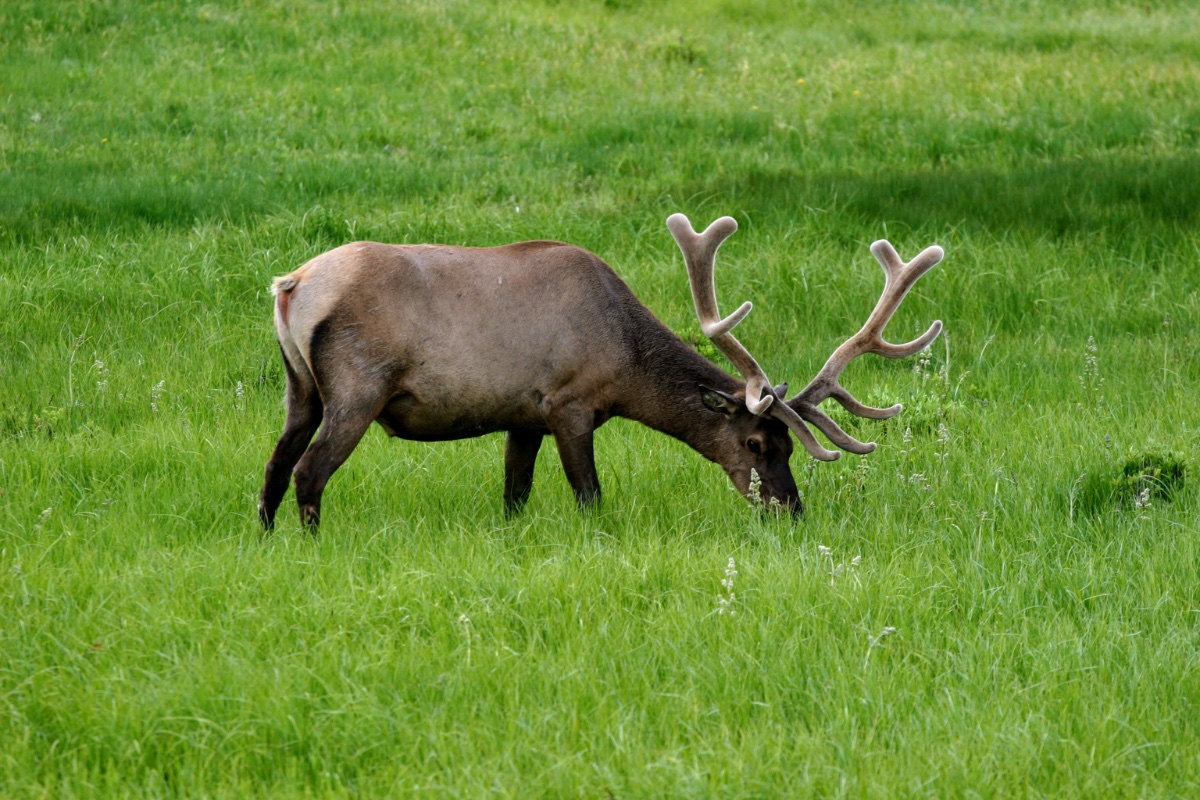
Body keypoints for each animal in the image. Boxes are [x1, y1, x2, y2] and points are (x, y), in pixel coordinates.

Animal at [258, 214, 944, 529]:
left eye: (791, 446)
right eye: (755, 442)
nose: (790, 508)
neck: (625, 363)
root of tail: (290, 285)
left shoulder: (522, 415)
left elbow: (514, 496)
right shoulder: (569, 402)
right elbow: (590, 496)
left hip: (300, 388)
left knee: (274, 466)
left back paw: (267, 541)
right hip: (357, 386)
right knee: (309, 471)